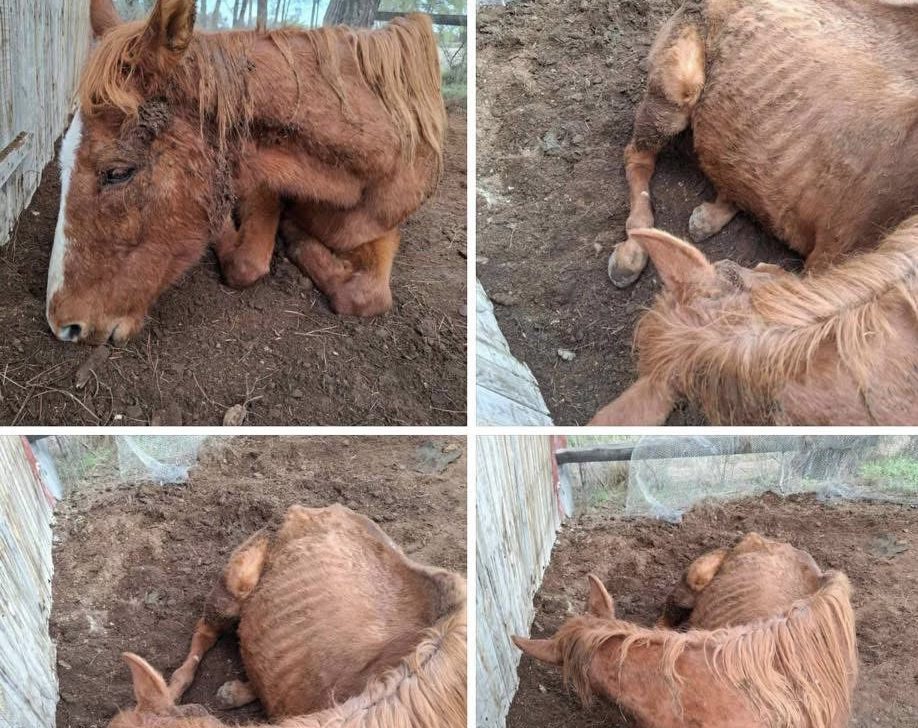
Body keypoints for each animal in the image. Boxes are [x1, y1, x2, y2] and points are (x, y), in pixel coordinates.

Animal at [47, 0, 446, 344]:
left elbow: (368, 295)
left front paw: (295, 236)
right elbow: (247, 263)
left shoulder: (380, 226)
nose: (62, 324)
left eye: (117, 172)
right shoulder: (260, 178)